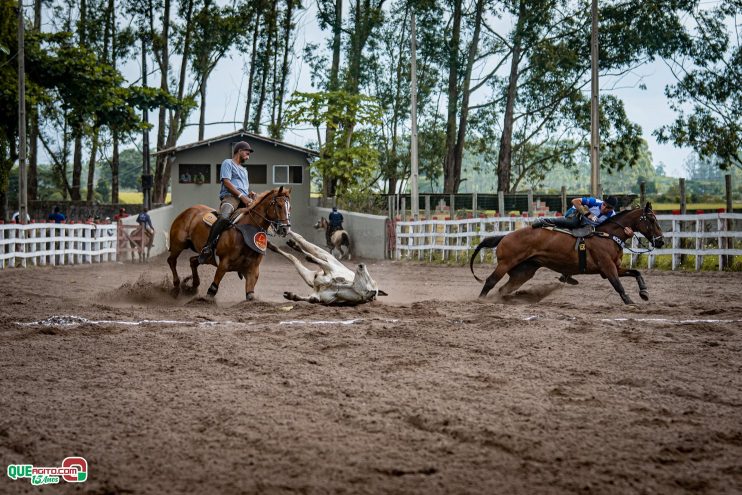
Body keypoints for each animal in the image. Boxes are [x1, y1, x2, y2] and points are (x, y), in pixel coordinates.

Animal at [470, 202, 668, 304]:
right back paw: (479, 301)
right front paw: (630, 302)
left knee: (504, 288)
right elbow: (618, 285)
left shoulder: (614, 268)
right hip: (505, 264)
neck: (608, 235)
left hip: (524, 271)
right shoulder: (607, 267)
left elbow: (636, 272)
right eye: (651, 219)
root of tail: (506, 236)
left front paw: (644, 293)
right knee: (490, 281)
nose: (660, 241)